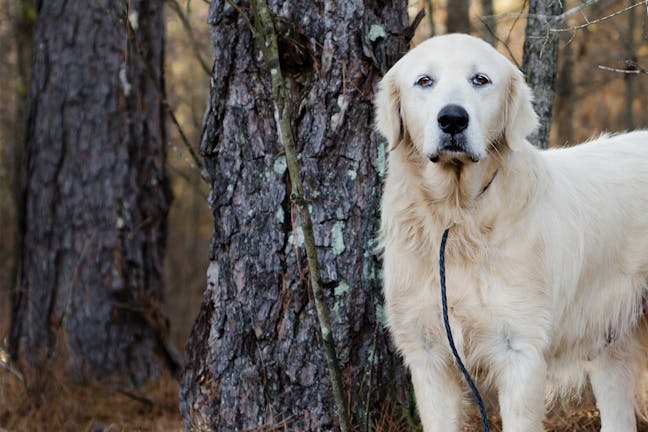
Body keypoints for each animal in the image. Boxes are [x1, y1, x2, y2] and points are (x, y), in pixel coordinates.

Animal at [374, 33, 648, 432]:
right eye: (425, 81)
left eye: (480, 80)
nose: (453, 119)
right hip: (611, 348)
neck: (457, 217)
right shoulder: (429, 356)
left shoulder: (519, 353)